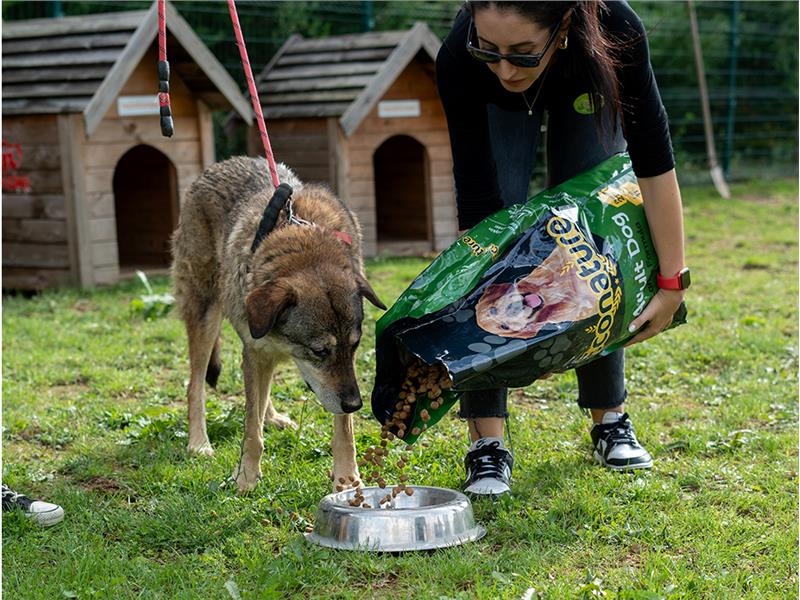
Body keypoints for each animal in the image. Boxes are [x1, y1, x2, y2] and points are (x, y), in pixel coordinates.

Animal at [170, 155, 384, 492]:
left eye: (355, 346)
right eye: (319, 351)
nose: (355, 404)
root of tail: (218, 165)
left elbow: (344, 432)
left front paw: (348, 479)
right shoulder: (257, 350)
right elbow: (250, 431)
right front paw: (246, 478)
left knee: (260, 393)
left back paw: (272, 417)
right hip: (206, 316)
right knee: (196, 386)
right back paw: (199, 443)